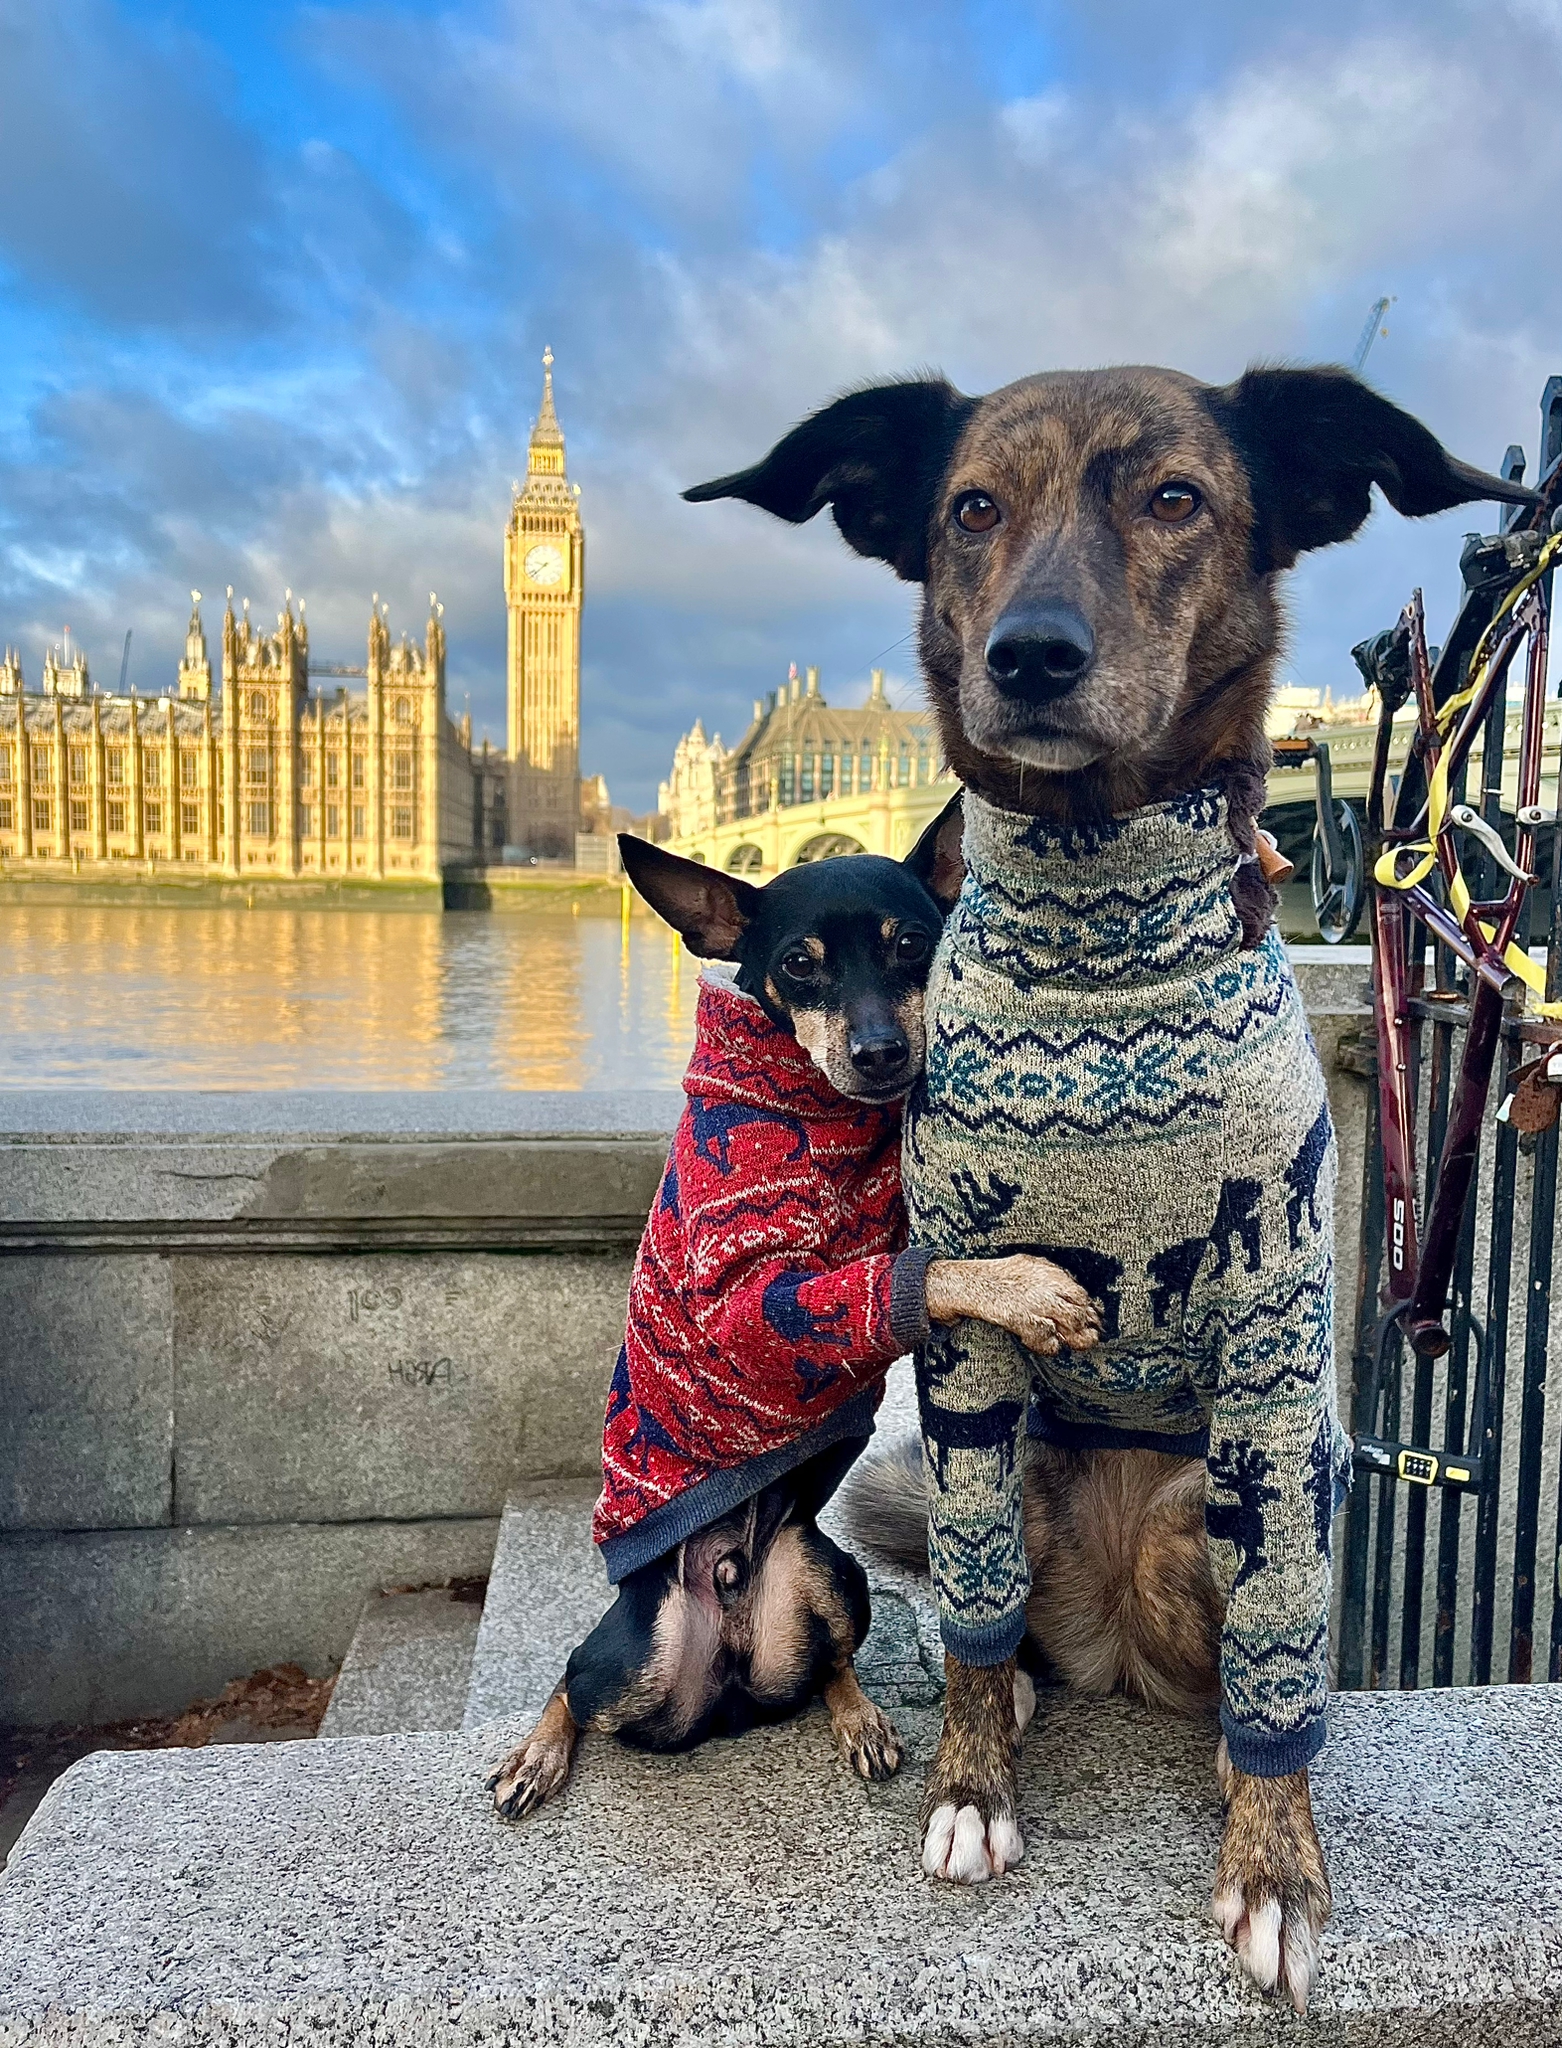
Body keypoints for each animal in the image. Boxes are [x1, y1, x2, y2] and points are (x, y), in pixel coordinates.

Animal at [687, 360, 1539, 2007]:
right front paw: (969, 1786)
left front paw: (1271, 1864)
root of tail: (1115, 1647)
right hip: (1010, 1471)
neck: (1097, 936)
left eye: (1175, 496)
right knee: (998, 1614)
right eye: (969, 506)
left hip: (1243, 1491)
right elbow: (962, 1625)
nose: (1028, 652)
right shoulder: (963, 1346)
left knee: (1242, 1659)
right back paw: (1024, 1687)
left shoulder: (1275, 1339)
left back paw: (1223, 1748)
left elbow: (1278, 1677)